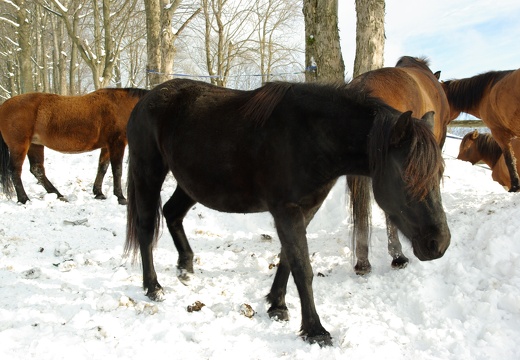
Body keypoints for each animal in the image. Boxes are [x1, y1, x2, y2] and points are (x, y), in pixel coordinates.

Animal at [0, 87, 148, 204]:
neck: (122, 106)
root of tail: (4, 105)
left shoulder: (107, 146)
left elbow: (102, 168)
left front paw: (99, 193)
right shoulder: (117, 143)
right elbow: (117, 170)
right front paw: (120, 197)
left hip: (34, 145)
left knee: (37, 169)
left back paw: (58, 194)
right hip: (19, 145)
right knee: (15, 170)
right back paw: (24, 199)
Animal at [124, 79, 448, 346]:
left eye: (439, 173)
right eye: (407, 176)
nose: (439, 244)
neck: (310, 136)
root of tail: (145, 99)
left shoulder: (305, 210)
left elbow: (287, 259)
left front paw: (277, 305)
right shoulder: (287, 211)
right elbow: (302, 268)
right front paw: (315, 330)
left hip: (191, 185)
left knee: (172, 213)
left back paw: (186, 266)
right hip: (148, 172)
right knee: (145, 226)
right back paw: (153, 287)